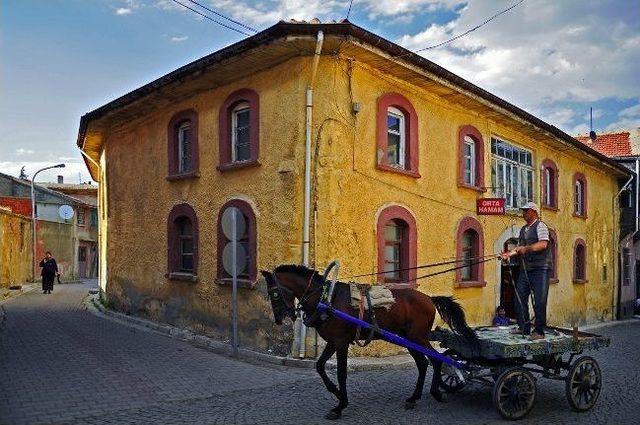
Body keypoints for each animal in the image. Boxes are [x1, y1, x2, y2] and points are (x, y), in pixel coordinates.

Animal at [258, 264, 476, 420]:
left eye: (274, 293)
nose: (280, 318)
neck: (326, 299)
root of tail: (429, 299)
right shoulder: (332, 342)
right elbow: (320, 366)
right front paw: (335, 391)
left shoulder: (341, 342)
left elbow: (341, 372)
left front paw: (340, 405)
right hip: (409, 338)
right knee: (424, 363)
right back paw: (415, 398)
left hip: (418, 337)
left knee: (436, 360)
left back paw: (435, 393)